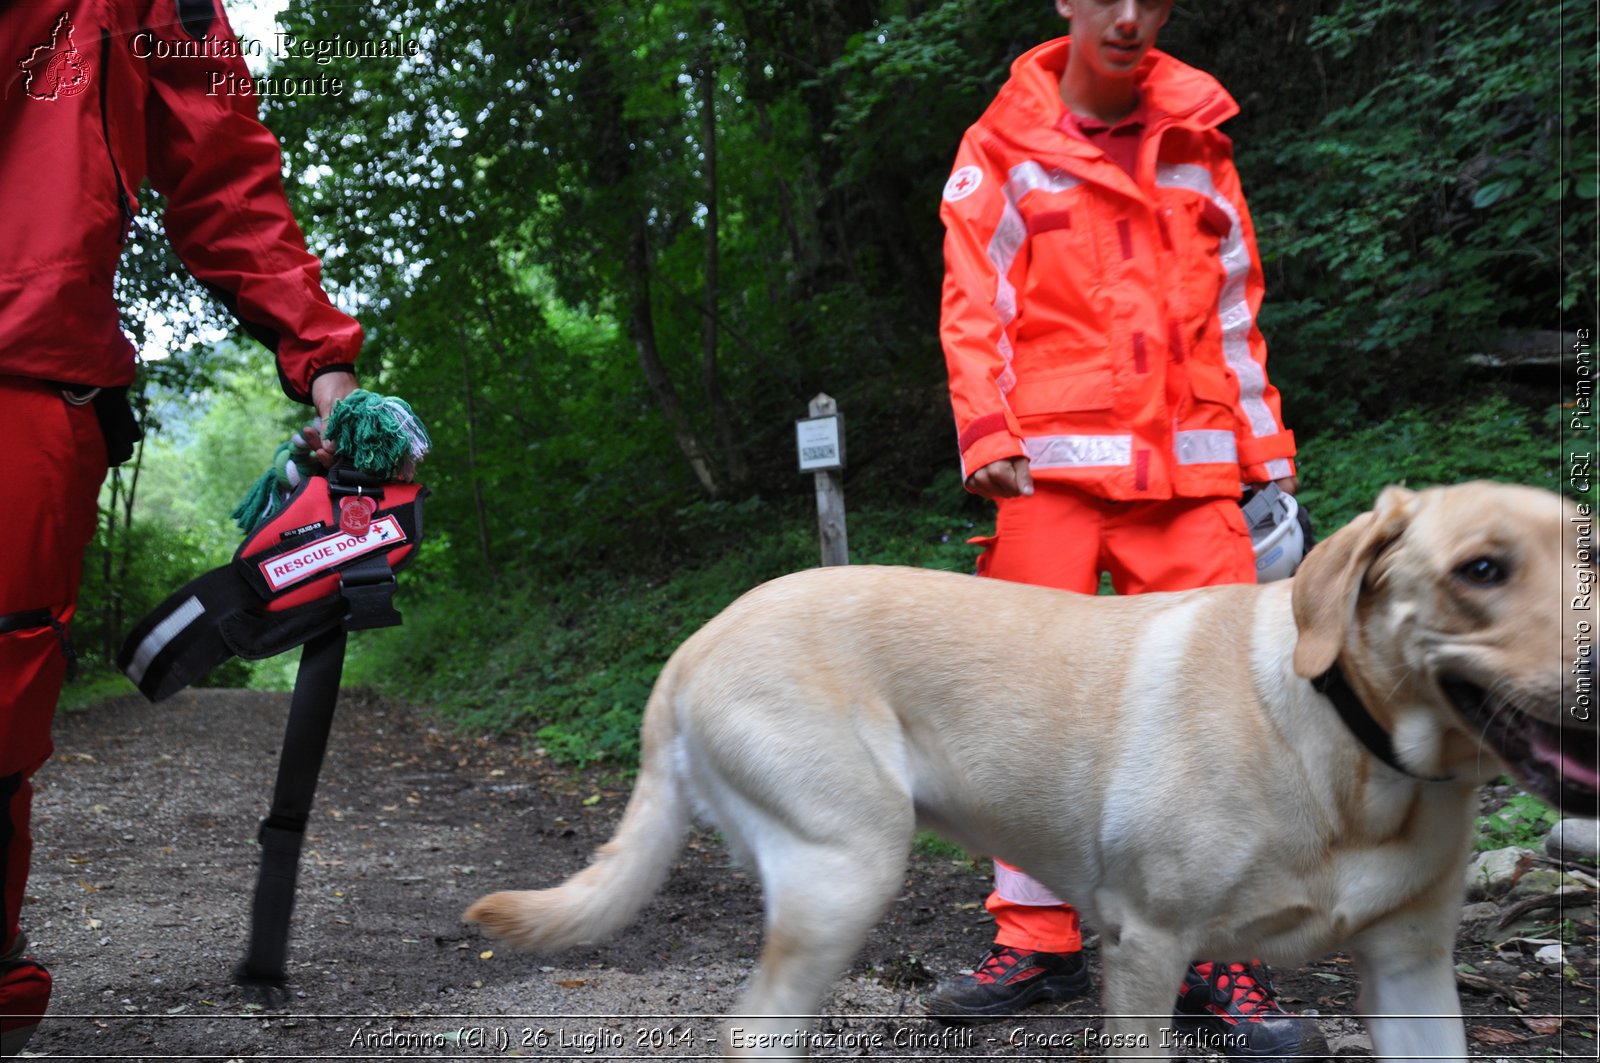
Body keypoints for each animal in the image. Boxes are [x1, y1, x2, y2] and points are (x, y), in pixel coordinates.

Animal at [467, 486, 1593, 1056]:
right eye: (1480, 570)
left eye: (1589, 553)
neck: (1354, 757)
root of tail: (691, 647)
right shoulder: (1145, 947)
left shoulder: (1411, 968)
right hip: (845, 869)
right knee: (752, 1032)